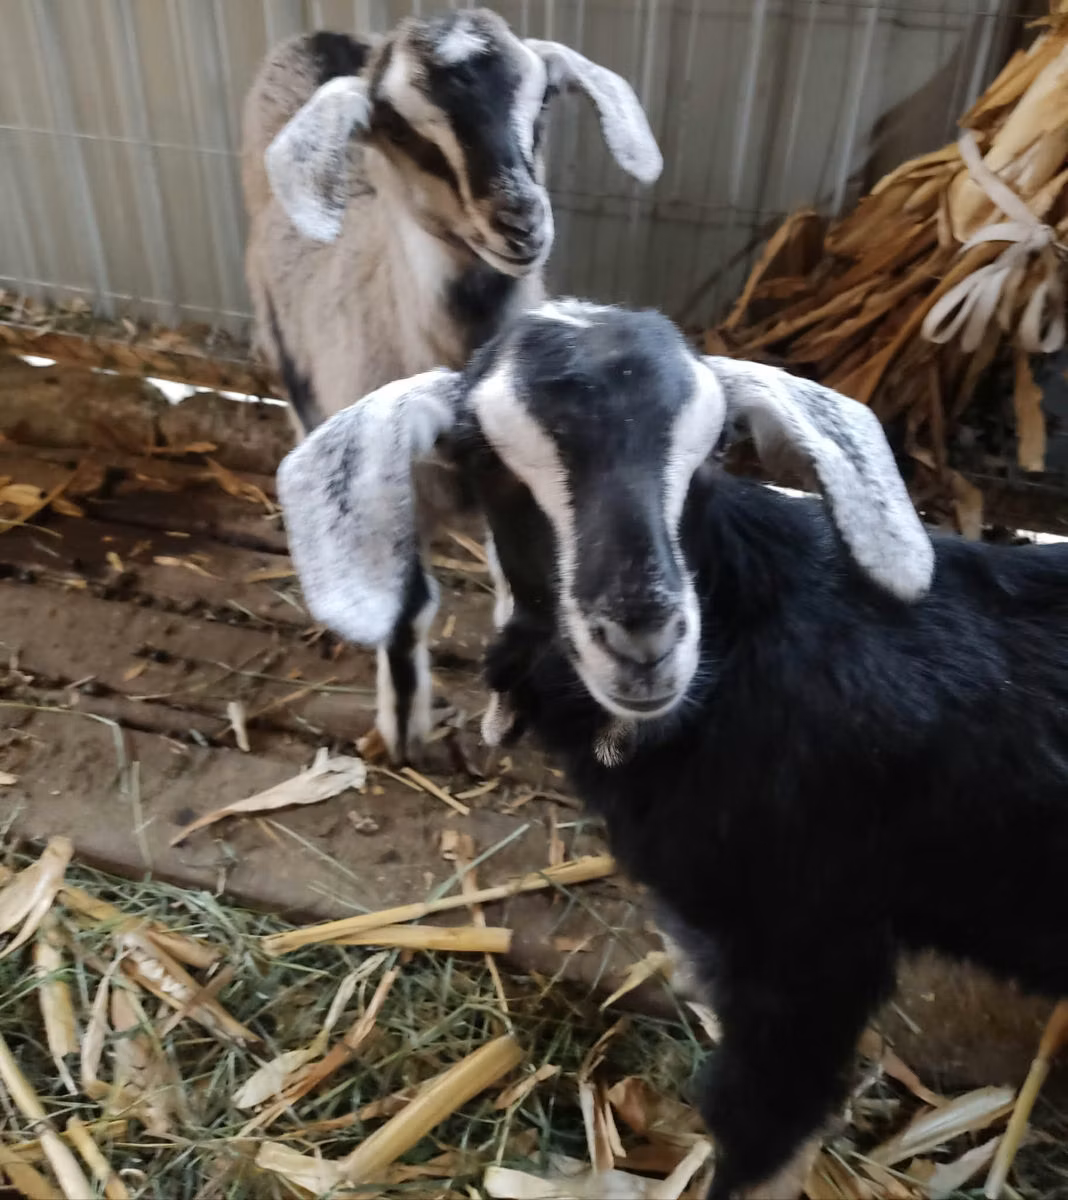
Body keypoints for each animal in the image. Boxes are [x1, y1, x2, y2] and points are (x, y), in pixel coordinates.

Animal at [241, 10, 662, 764]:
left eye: (542, 100)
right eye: (402, 129)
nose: (520, 222)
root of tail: (322, 36)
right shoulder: (386, 498)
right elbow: (406, 607)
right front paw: (404, 731)